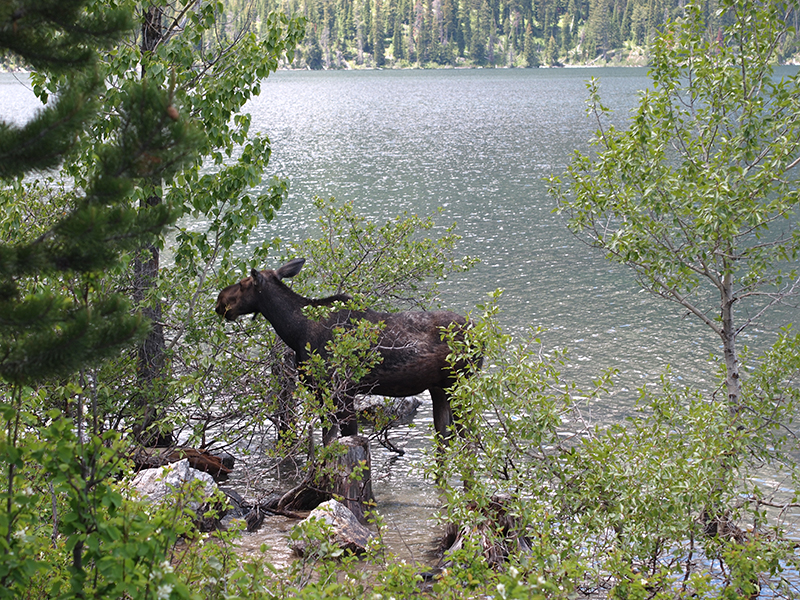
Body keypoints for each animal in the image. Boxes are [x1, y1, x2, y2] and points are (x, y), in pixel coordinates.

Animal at [214, 260, 482, 448]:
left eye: (242, 284)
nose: (219, 301)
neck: (295, 331)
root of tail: (481, 335)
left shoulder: (343, 391)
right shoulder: (321, 393)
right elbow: (327, 442)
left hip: (460, 384)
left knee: (468, 440)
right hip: (439, 388)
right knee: (445, 441)